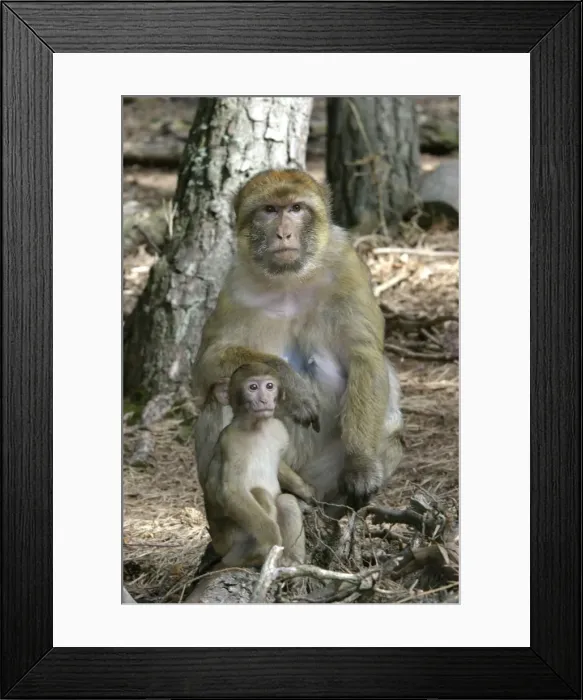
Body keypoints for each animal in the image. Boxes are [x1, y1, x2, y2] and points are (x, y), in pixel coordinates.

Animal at [192, 169, 404, 517]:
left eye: (295, 208)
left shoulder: (348, 268)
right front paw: (294, 385)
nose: (283, 234)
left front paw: (360, 464)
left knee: (391, 431)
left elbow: (365, 357)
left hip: (323, 474)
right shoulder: (234, 285)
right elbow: (207, 362)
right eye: (269, 210)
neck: (290, 279)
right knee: (220, 392)